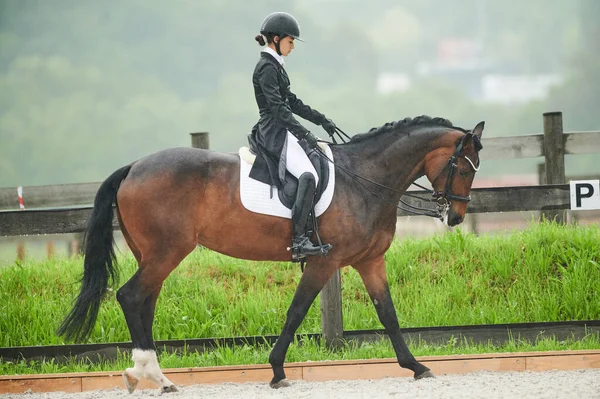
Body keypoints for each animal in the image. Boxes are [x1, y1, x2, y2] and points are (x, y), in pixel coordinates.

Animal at [58, 115, 486, 394]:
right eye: (465, 169)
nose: (455, 216)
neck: (365, 179)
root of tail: (133, 167)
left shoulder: (370, 262)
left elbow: (389, 315)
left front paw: (416, 367)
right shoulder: (323, 262)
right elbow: (296, 312)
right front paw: (278, 370)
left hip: (153, 255)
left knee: (144, 301)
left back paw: (150, 376)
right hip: (166, 252)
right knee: (131, 296)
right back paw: (152, 375)